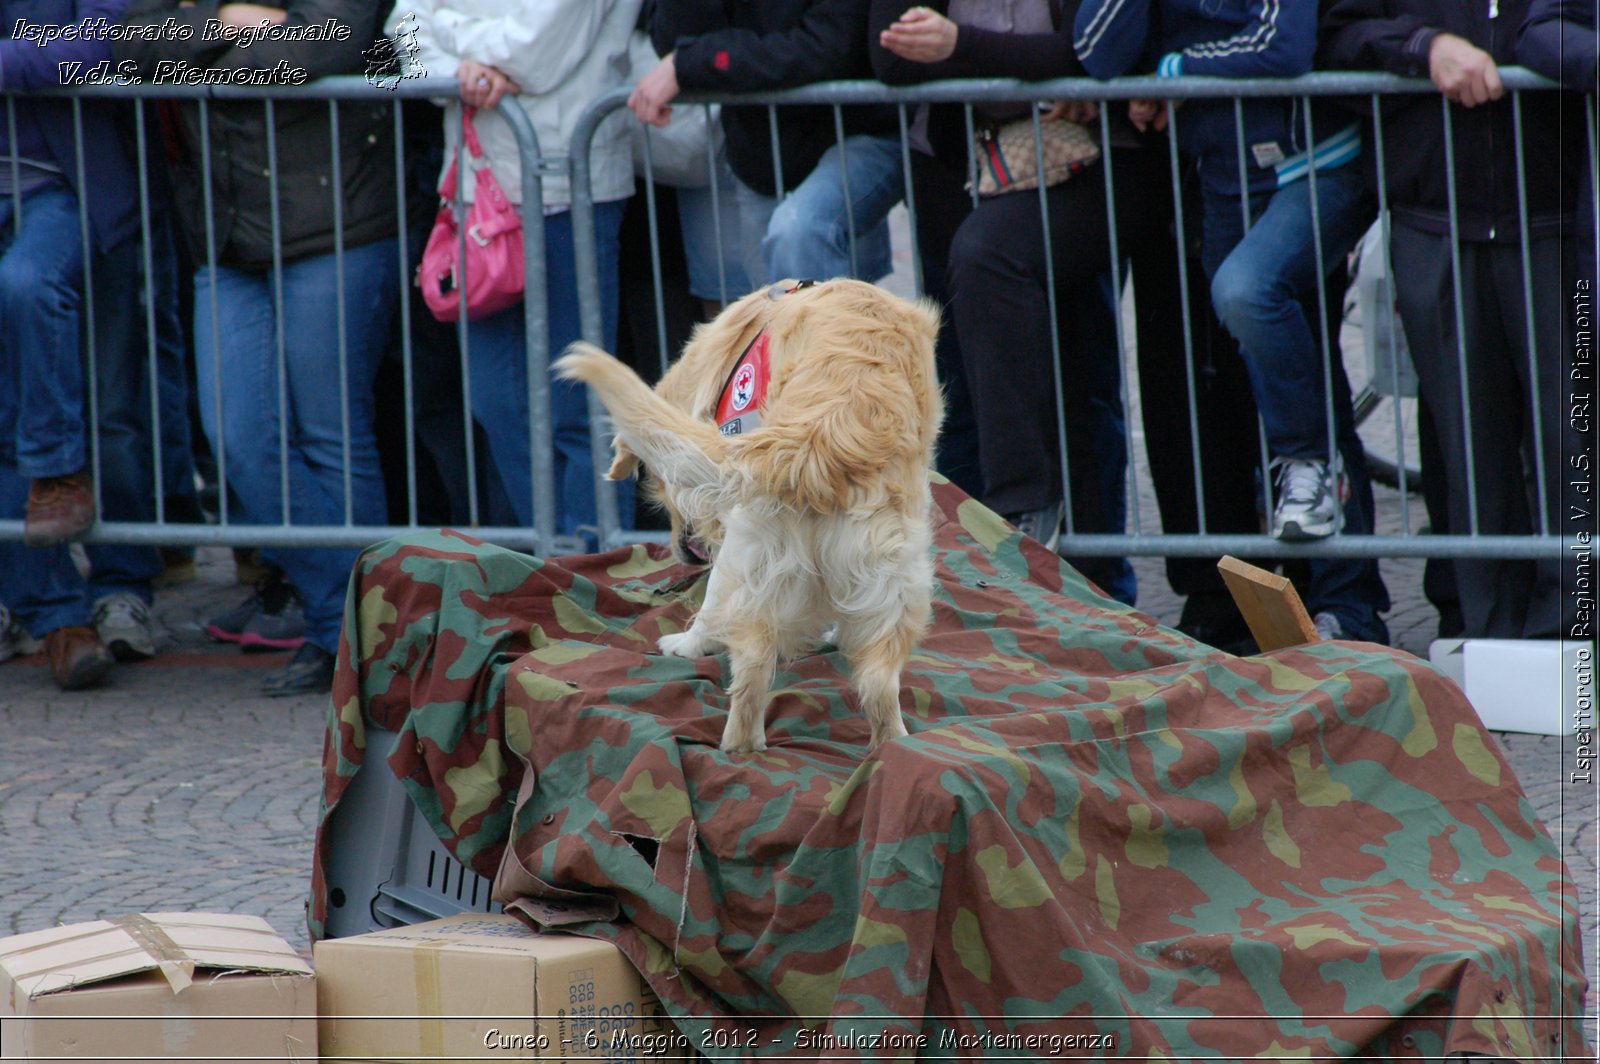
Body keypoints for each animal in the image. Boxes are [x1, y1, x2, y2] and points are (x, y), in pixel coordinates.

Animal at [556, 278, 940, 752]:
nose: (688, 553)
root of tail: (822, 437)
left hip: (747, 551)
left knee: (748, 664)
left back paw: (732, 734)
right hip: (894, 573)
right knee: (879, 683)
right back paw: (890, 746)